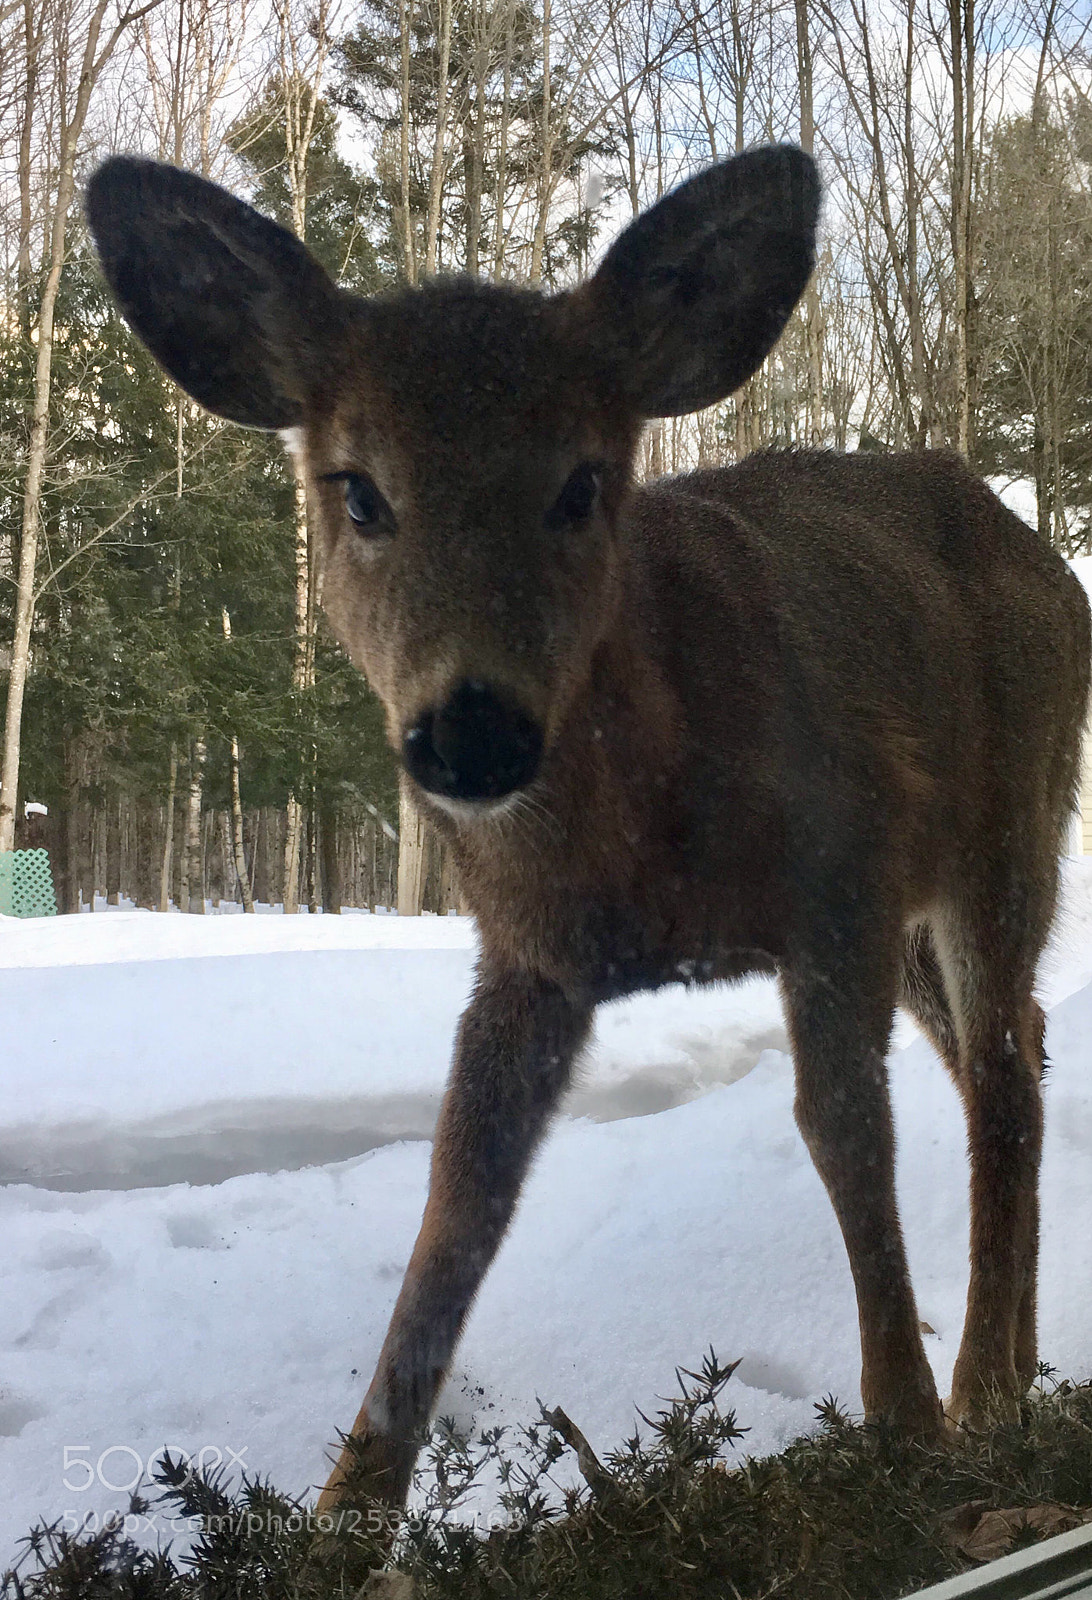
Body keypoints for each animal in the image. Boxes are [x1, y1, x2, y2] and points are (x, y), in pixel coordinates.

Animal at [86, 144, 1091, 1516]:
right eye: (358, 490)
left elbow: (845, 1131)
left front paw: (906, 1424)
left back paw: (988, 1385)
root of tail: (1049, 561)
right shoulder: (526, 953)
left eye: (580, 484)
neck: (640, 840)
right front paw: (346, 1512)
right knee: (1024, 1042)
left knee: (1000, 1077)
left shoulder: (841, 868)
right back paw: (1023, 1363)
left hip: (1009, 827)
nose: (473, 730)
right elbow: (458, 1198)